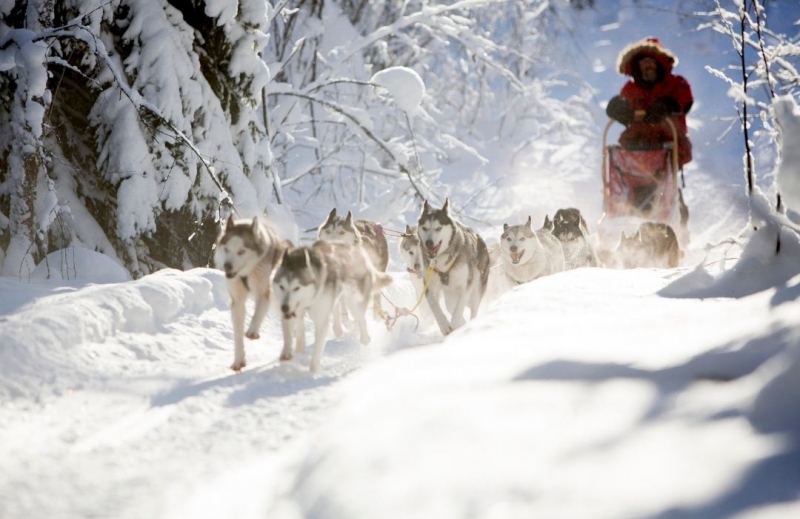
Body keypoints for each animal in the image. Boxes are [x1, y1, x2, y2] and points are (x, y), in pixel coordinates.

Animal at [274, 242, 392, 372]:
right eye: (281, 286)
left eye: (296, 288)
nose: (284, 307)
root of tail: (358, 250)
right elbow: (289, 334)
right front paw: (287, 352)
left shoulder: (321, 319)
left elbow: (317, 349)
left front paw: (313, 370)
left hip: (354, 301)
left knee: (361, 319)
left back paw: (364, 337)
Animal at [416, 199, 490, 338]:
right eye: (425, 228)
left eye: (438, 228)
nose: (428, 242)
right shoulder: (429, 285)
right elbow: (435, 306)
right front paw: (444, 325)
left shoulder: (467, 283)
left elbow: (459, 308)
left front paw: (455, 323)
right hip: (450, 293)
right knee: (451, 306)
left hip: (476, 288)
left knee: (473, 309)